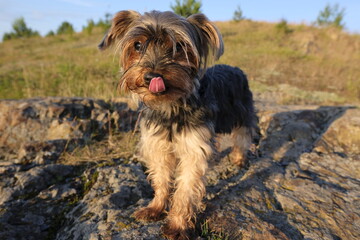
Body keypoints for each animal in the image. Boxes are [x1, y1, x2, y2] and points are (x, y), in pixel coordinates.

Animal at [98, 10, 256, 239]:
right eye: (138, 45)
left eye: (179, 47)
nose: (152, 76)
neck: (170, 107)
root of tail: (236, 69)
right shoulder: (158, 145)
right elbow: (162, 178)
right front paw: (155, 208)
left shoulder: (194, 148)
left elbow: (185, 190)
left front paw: (177, 226)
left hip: (243, 110)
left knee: (243, 136)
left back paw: (239, 158)